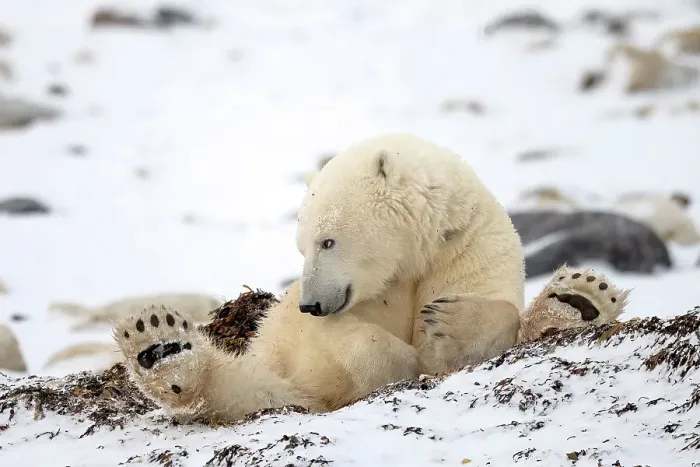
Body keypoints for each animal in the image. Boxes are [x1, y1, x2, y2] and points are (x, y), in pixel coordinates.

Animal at [113, 133, 631, 424]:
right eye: (302, 246)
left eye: (326, 241)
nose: (308, 303)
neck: (411, 260)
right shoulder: (315, 331)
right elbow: (350, 345)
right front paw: (403, 359)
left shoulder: (469, 250)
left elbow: (485, 321)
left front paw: (447, 322)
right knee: (250, 389)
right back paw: (160, 348)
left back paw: (579, 301)